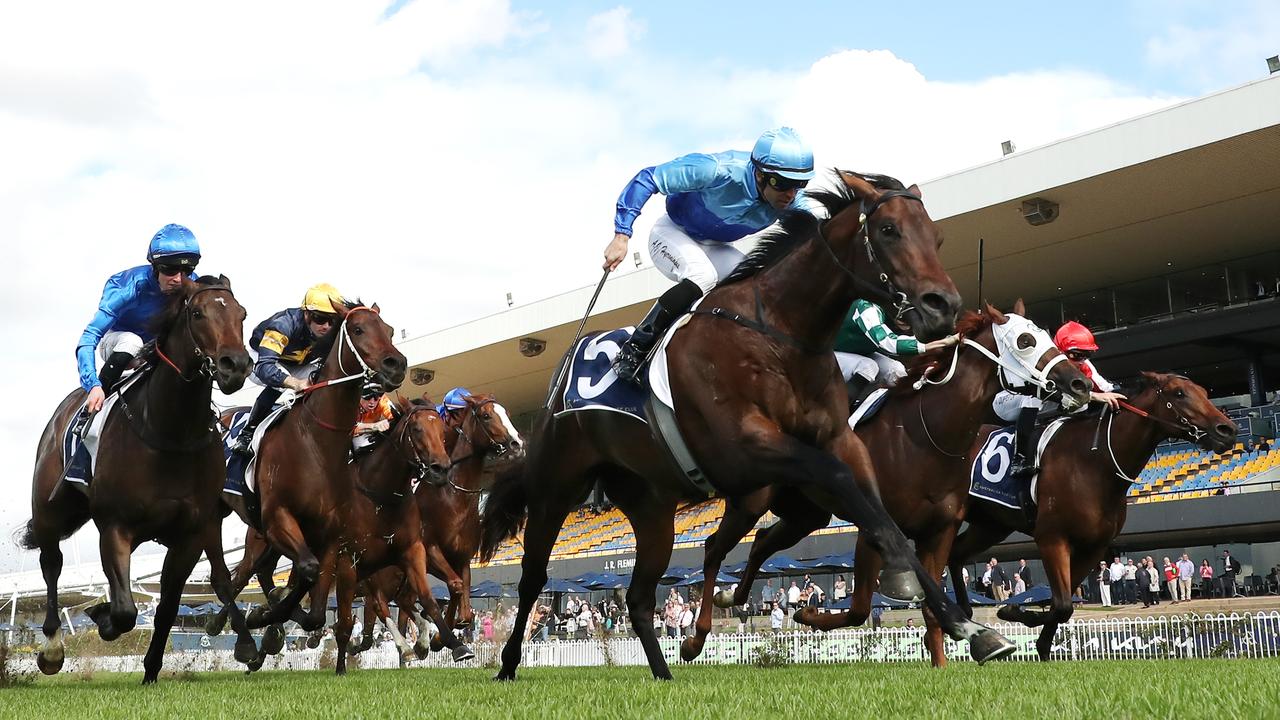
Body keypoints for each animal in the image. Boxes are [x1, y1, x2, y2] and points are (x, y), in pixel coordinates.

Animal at [24, 272, 252, 676]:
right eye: (197, 313)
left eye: (241, 314)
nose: (235, 365)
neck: (171, 433)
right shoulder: (115, 527)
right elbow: (125, 611)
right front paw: (101, 618)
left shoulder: (191, 533)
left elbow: (165, 609)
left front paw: (150, 670)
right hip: (50, 513)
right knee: (51, 565)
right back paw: (51, 648)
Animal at [481, 169, 1018, 676]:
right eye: (888, 230)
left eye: (937, 237)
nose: (943, 306)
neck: (778, 334)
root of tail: (555, 386)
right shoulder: (746, 447)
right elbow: (842, 483)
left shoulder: (841, 441)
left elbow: (877, 511)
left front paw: (970, 627)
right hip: (556, 488)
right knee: (534, 578)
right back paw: (508, 664)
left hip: (653, 506)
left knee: (641, 595)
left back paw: (665, 670)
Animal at [686, 299, 1095, 666]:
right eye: (1025, 341)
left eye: (1049, 337)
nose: (1079, 383)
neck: (924, 435)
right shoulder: (874, 530)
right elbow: (859, 608)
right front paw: (807, 615)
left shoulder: (939, 531)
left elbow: (931, 605)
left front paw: (947, 660)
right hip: (751, 502)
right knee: (713, 548)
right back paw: (696, 638)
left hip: (805, 516)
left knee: (761, 544)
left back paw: (731, 598)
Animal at [947, 371, 1233, 661]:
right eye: (1179, 393)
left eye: (1204, 392)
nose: (1227, 430)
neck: (1095, 463)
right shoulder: (1052, 538)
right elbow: (1062, 604)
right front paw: (1013, 613)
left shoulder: (1094, 547)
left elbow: (1061, 604)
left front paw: (1036, 638)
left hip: (991, 525)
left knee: (956, 553)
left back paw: (964, 613)